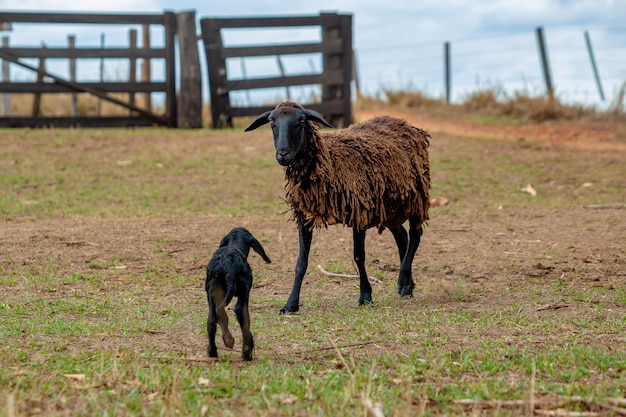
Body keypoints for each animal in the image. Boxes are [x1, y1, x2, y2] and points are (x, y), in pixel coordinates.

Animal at [245, 102, 428, 314]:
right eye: (271, 122)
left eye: (301, 120)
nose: (283, 154)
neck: (328, 162)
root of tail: (403, 122)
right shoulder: (304, 216)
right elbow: (301, 262)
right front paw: (291, 304)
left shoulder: (359, 213)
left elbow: (358, 256)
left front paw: (365, 295)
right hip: (388, 207)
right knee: (402, 237)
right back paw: (407, 286)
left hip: (415, 197)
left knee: (415, 234)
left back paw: (403, 278)